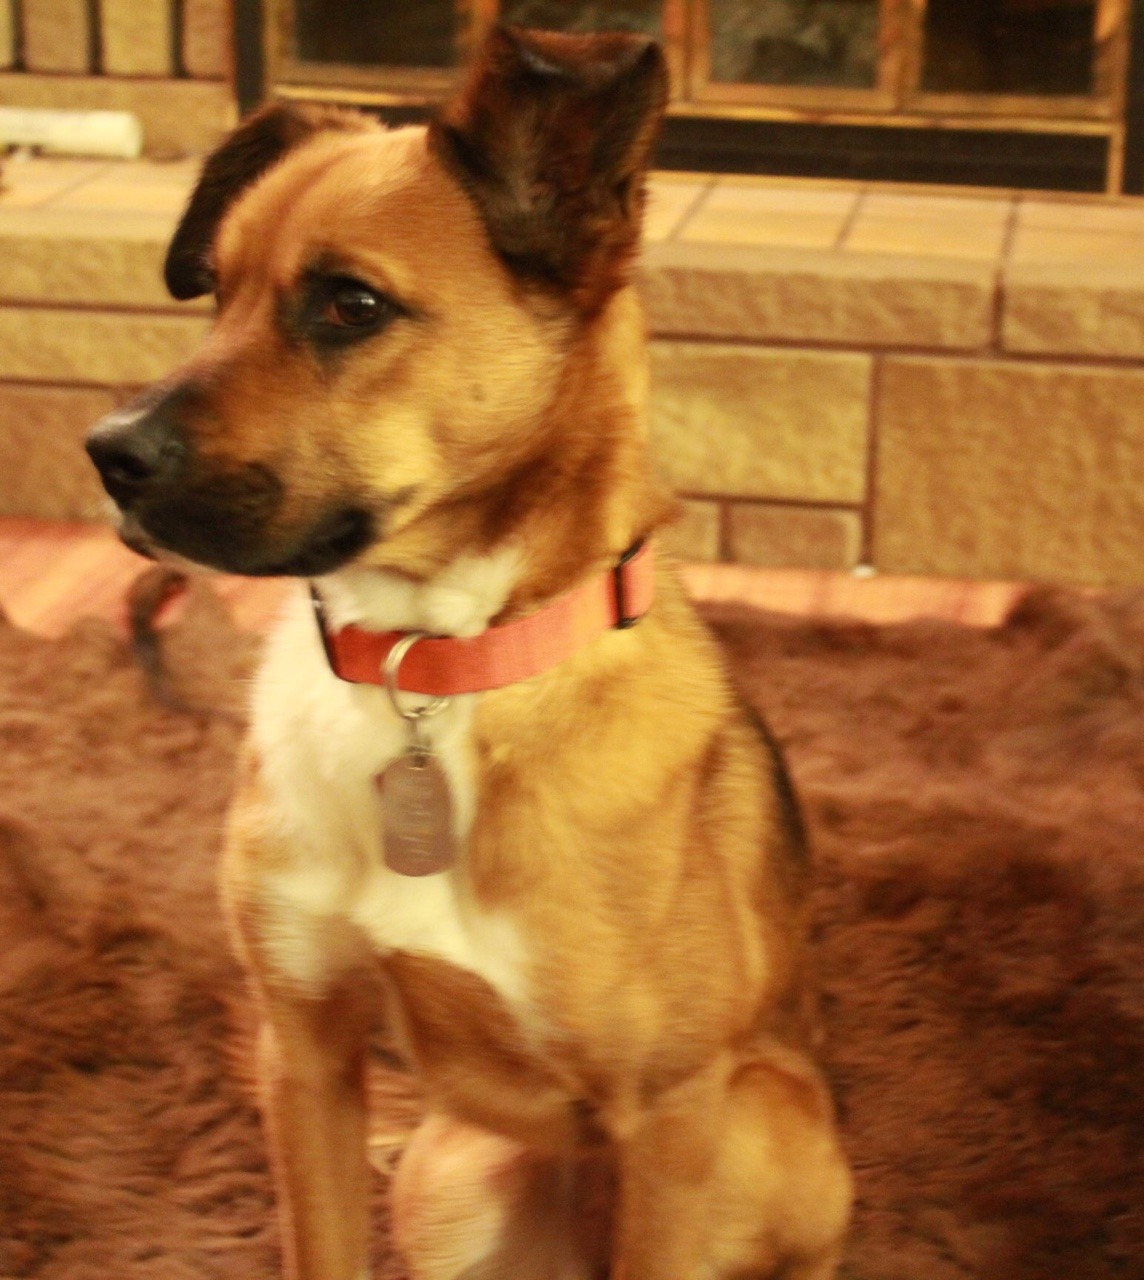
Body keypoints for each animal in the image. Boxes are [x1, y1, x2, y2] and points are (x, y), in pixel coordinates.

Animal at [87, 22, 849, 1280]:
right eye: (218, 293)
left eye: (349, 304)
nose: (105, 453)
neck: (427, 665)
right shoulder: (303, 1048)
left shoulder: (674, 1117)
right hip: (449, 1179)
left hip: (759, 1133)